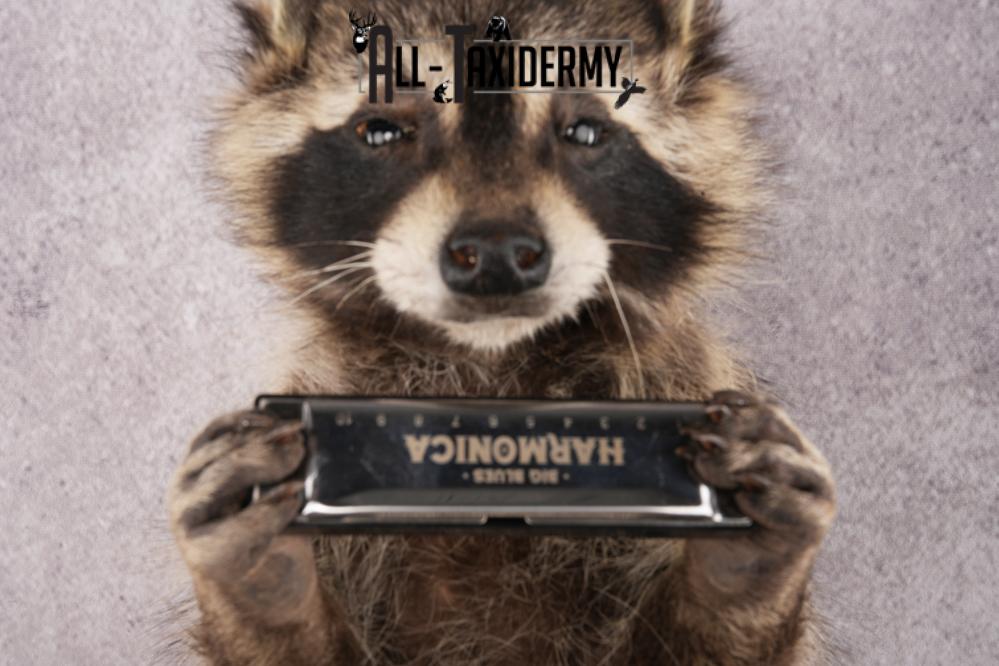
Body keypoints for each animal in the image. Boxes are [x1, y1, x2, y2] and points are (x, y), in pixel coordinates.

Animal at [166, 1, 836, 664]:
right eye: (381, 130)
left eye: (585, 132)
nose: (494, 255)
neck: (487, 372)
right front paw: (264, 584)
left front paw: (741, 573)